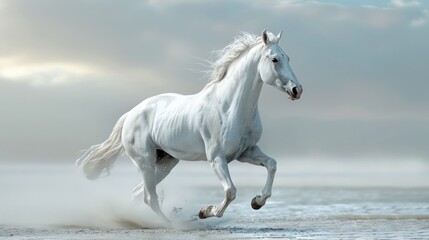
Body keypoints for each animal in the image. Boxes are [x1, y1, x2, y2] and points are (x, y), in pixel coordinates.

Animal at [77, 30, 304, 221]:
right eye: (274, 59)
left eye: (288, 58)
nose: (297, 90)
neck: (231, 107)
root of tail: (130, 115)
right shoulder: (217, 158)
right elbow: (230, 192)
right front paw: (205, 211)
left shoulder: (246, 152)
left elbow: (272, 164)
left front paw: (257, 201)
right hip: (145, 161)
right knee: (149, 198)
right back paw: (171, 224)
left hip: (165, 162)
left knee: (138, 194)